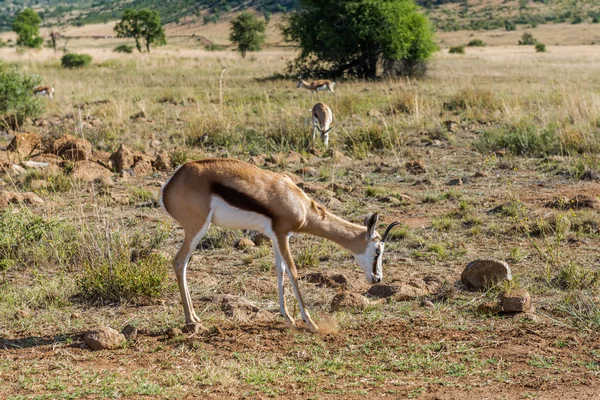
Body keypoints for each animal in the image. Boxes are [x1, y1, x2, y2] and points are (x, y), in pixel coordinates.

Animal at [162, 158, 400, 332]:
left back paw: (195, 317)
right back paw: (190, 321)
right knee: (179, 262)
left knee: (183, 264)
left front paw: (289, 319)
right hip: (197, 228)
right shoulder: (283, 234)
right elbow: (293, 271)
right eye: (378, 250)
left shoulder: (276, 237)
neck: (300, 204)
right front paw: (311, 323)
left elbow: (280, 271)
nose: (377, 278)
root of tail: (170, 183)